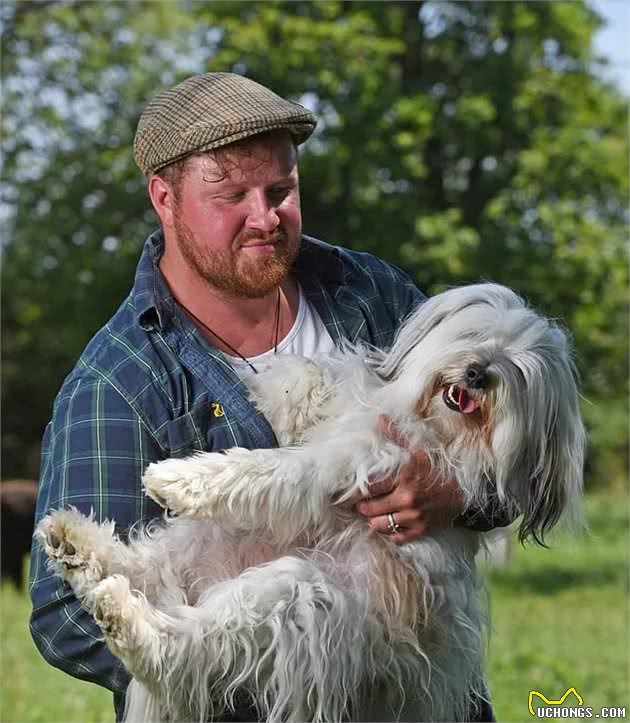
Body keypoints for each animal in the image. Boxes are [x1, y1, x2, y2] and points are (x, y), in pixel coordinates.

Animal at [35, 282, 588, 723]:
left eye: (516, 370)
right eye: (474, 337)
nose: (478, 374)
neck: (430, 425)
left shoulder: (348, 465)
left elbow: (266, 468)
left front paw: (178, 477)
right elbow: (312, 377)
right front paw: (272, 386)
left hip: (298, 600)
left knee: (183, 648)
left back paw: (122, 612)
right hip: (204, 541)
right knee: (140, 570)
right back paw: (75, 546)